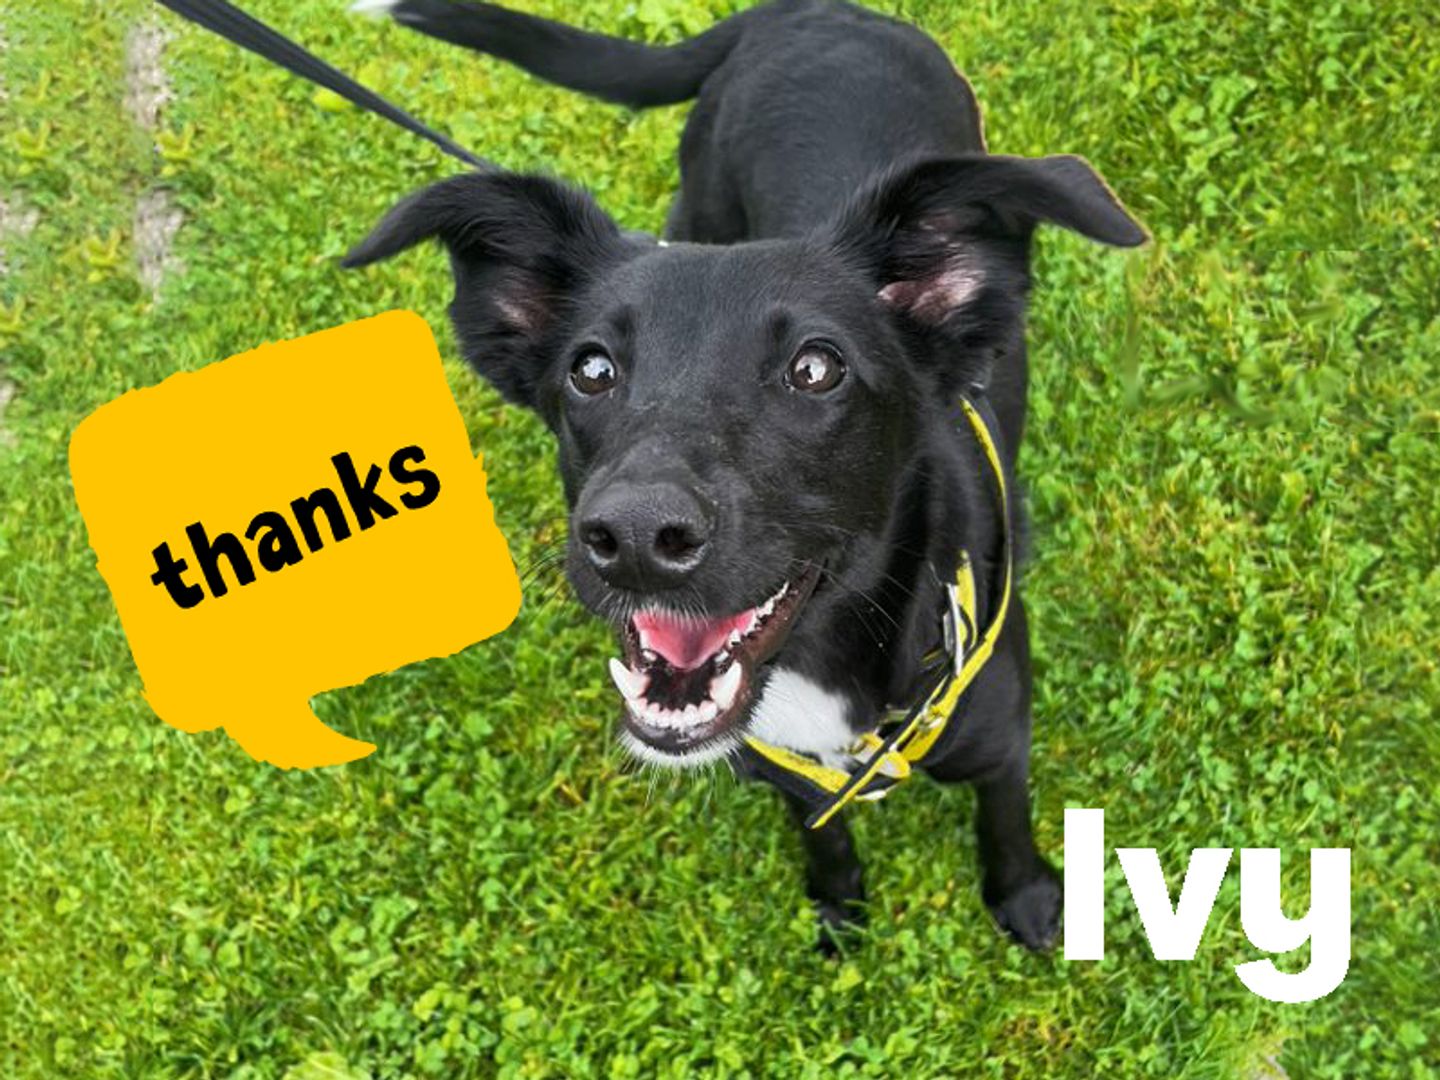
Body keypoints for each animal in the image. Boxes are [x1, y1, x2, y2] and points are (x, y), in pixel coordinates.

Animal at [342, 0, 1140, 956]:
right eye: (591, 370)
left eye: (816, 368)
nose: (635, 539)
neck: (828, 665)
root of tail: (802, 9)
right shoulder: (783, 771)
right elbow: (823, 833)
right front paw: (837, 905)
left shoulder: (1003, 737)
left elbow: (1006, 819)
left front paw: (1025, 898)